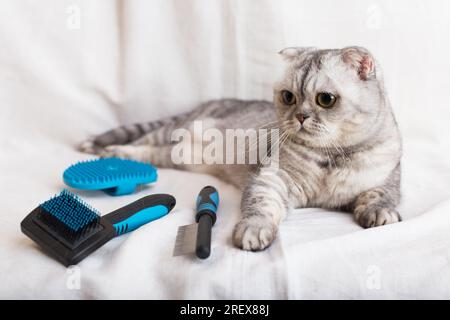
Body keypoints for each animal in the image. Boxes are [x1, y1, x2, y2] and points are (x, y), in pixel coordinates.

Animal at [79, 47, 402, 252]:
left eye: (325, 99)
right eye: (288, 96)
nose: (299, 116)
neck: (330, 158)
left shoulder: (387, 178)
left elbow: (380, 195)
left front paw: (379, 213)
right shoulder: (272, 178)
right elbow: (260, 206)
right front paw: (254, 231)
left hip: (177, 156)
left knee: (151, 154)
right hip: (171, 132)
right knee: (139, 143)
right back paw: (104, 151)